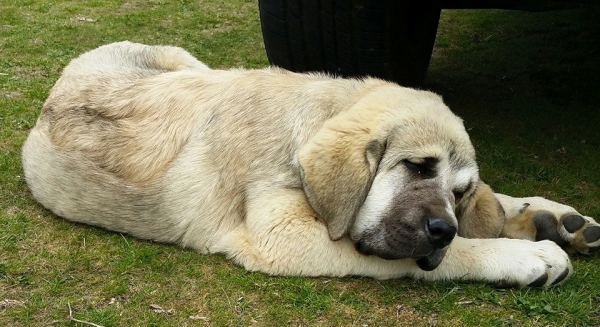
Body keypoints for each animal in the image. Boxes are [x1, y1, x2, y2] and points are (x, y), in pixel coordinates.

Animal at [21, 41, 596, 290]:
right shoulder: (284, 237)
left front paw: (545, 218)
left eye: (458, 190)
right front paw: (522, 255)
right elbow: (415, 258)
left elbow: (491, 204)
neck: (314, 117)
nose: (442, 229)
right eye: (416, 167)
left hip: (188, 62)